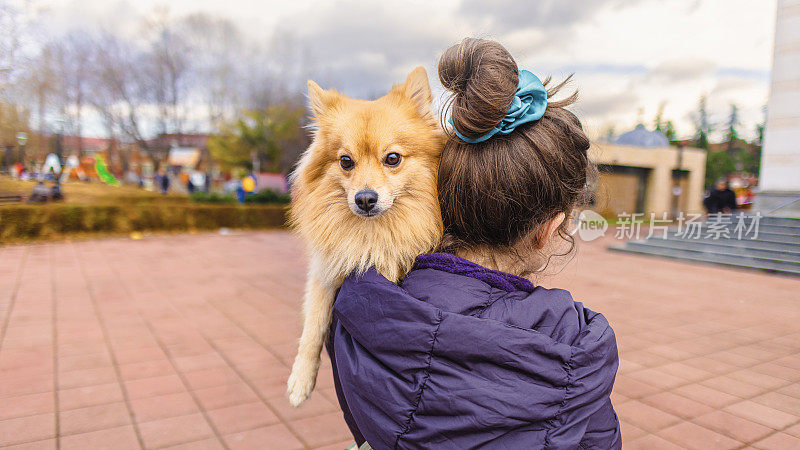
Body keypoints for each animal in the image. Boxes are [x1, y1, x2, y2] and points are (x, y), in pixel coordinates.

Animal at [286, 67, 444, 408]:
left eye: (393, 158)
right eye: (346, 161)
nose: (365, 198)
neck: (372, 236)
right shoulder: (326, 272)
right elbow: (313, 325)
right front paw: (301, 379)